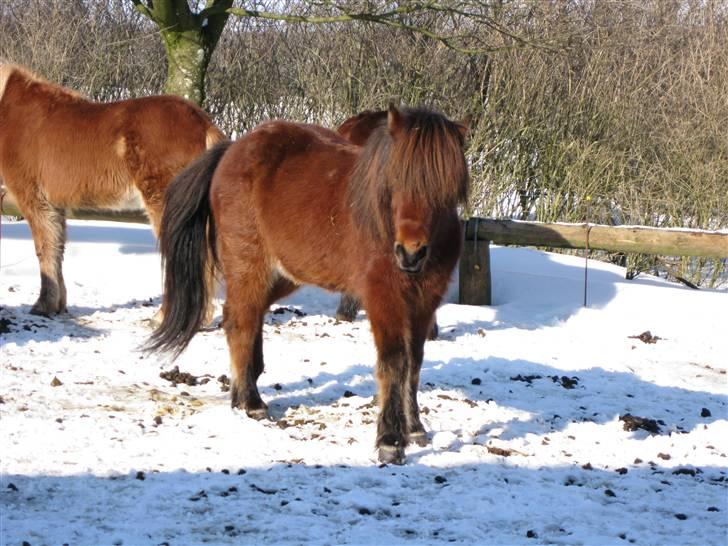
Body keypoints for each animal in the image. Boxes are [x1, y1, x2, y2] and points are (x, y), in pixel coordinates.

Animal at [0, 64, 222, 316]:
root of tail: (203, 123)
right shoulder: (55, 207)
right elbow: (57, 249)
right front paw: (59, 305)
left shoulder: (34, 200)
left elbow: (44, 249)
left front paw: (43, 305)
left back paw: (161, 317)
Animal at [145, 104, 470, 462]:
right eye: (395, 178)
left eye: (446, 186)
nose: (411, 253)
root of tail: (232, 150)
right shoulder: (383, 298)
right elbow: (394, 362)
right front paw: (390, 439)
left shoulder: (425, 302)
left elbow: (414, 363)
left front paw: (415, 428)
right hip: (249, 268)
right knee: (240, 323)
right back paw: (252, 403)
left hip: (284, 274)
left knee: (248, 318)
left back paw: (242, 394)